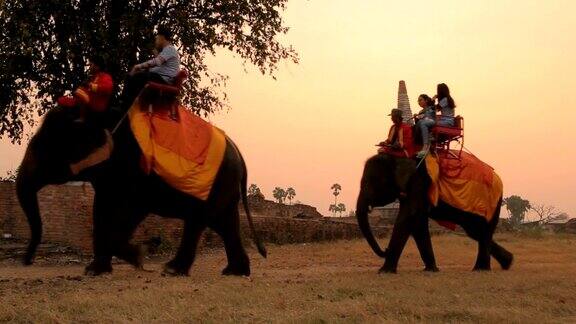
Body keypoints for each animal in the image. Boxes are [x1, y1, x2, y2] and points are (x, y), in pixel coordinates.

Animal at [14, 106, 266, 276]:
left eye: (44, 147)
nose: (27, 261)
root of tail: (239, 153)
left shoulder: (134, 171)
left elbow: (128, 211)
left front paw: (138, 255)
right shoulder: (108, 176)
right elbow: (102, 210)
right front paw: (95, 270)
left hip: (214, 184)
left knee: (201, 221)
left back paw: (172, 270)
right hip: (224, 186)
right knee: (224, 223)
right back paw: (234, 272)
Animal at [356, 154, 512, 274]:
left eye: (373, 181)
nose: (385, 249)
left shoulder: (419, 183)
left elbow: (409, 216)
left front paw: (384, 271)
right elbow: (417, 222)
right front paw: (431, 270)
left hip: (493, 201)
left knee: (483, 230)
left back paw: (482, 269)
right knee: (474, 231)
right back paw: (507, 262)